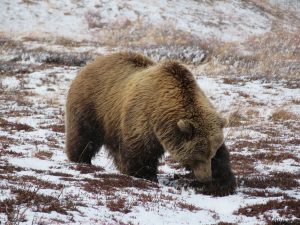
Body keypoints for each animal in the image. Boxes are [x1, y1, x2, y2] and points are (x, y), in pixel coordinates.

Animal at [65, 51, 237, 194]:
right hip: (91, 106)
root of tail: (89, 64)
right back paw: (80, 159)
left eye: (211, 153)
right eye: (197, 155)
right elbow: (141, 156)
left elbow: (222, 158)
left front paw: (223, 183)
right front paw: (145, 176)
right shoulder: (142, 120)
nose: (205, 177)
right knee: (84, 137)